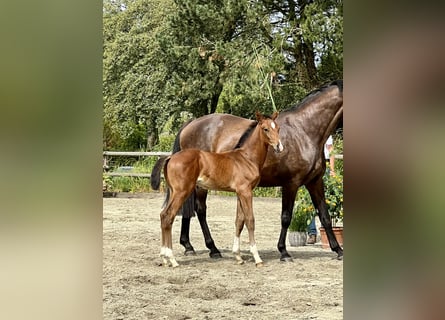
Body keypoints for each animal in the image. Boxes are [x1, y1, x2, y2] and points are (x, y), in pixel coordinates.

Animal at [151, 111, 282, 266]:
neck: (246, 157)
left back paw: (165, 258)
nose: (279, 146)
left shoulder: (240, 193)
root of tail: (170, 157)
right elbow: (250, 220)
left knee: (163, 215)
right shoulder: (246, 192)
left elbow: (239, 221)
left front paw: (238, 256)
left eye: (278, 128)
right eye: (265, 129)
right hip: (181, 191)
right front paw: (257, 258)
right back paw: (172, 258)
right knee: (168, 216)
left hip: (174, 191)